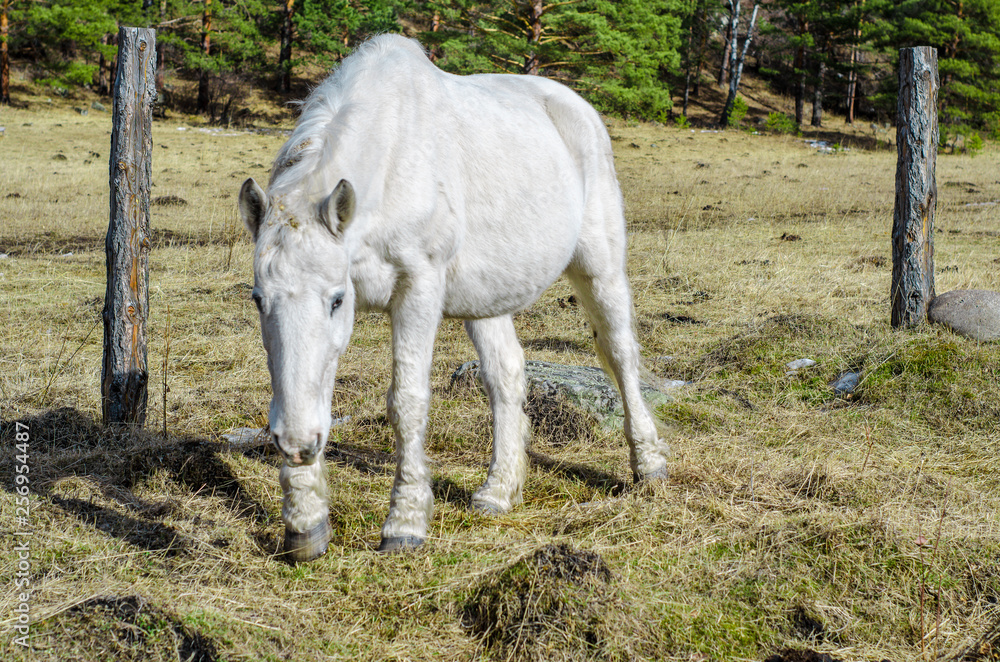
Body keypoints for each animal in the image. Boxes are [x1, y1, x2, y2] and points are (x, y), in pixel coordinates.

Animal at [238, 34, 671, 562]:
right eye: (259, 300)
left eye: (337, 300)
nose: (297, 445)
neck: (390, 164)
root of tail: (575, 106)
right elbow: (303, 387)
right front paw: (305, 522)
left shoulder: (417, 289)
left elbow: (406, 402)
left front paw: (405, 523)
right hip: (489, 297)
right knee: (506, 375)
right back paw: (499, 490)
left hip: (599, 268)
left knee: (620, 354)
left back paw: (648, 466)